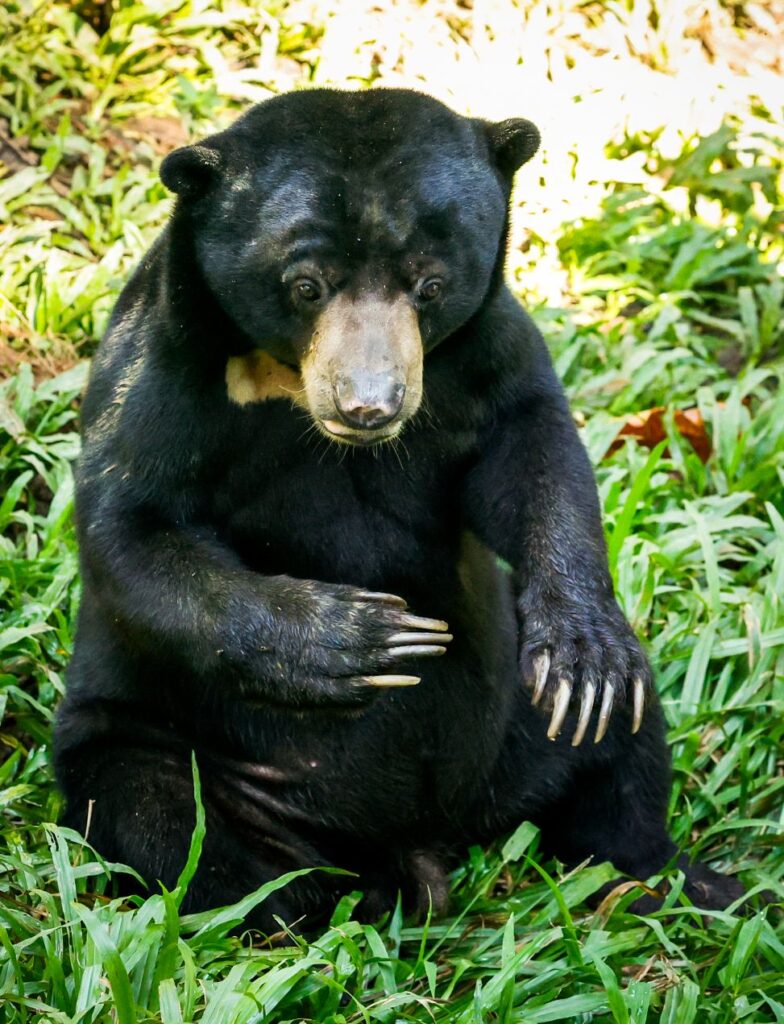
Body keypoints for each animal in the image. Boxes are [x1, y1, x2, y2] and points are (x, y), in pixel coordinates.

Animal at [53, 87, 744, 930]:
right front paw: (370, 639)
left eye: (431, 285)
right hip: (164, 736)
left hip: (514, 717)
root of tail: (430, 834)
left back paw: (681, 879)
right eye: (305, 284)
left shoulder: (483, 349)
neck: (283, 386)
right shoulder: (162, 365)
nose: (370, 407)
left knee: (620, 746)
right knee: (177, 830)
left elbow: (531, 447)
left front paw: (581, 652)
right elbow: (133, 528)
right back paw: (344, 898)